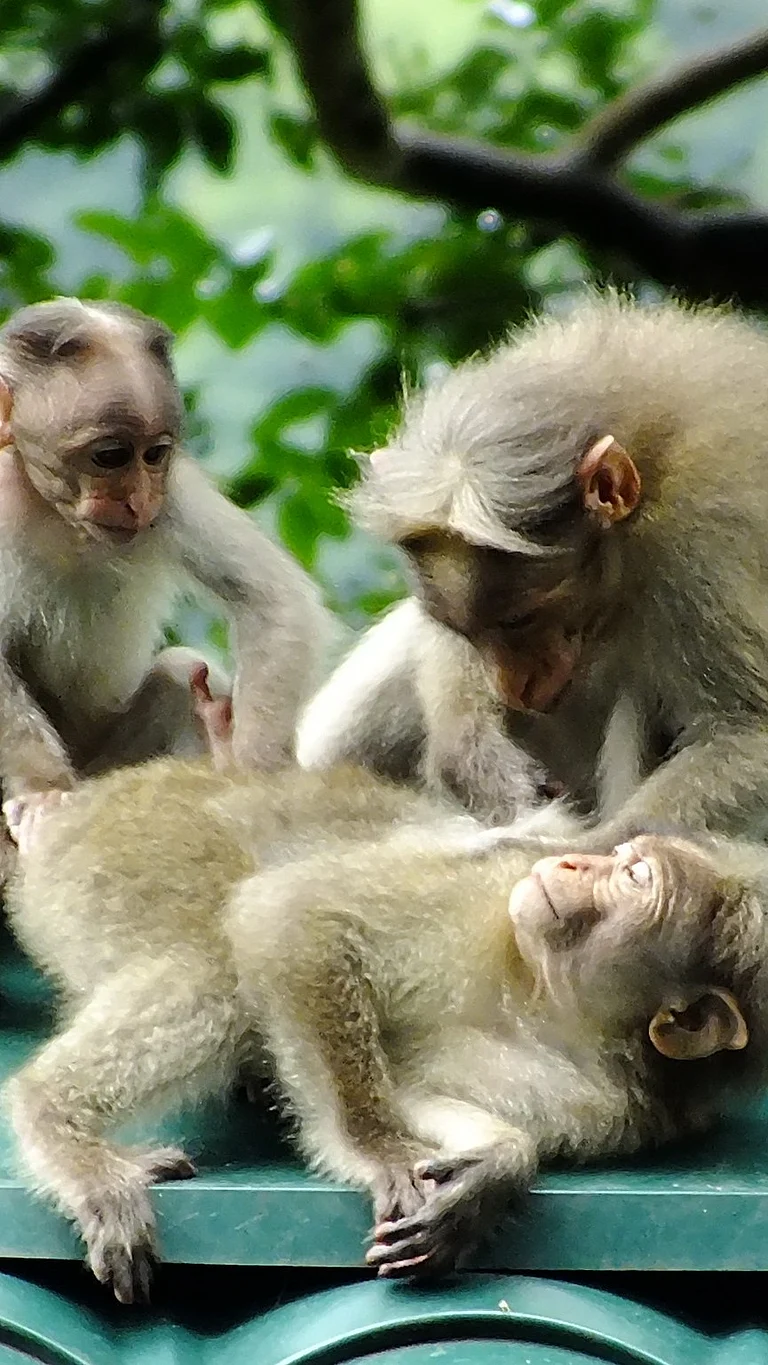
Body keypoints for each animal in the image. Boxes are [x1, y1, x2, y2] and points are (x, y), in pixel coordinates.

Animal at [0, 296, 332, 815]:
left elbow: (272, 599)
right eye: (111, 456)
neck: (56, 513)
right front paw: (42, 788)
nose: (138, 501)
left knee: (178, 676)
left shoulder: (172, 493)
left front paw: (255, 770)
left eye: (154, 455)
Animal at [4, 746, 768, 1300]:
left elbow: (421, 1091)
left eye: (636, 879)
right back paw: (59, 1126)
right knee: (220, 971)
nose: (575, 861)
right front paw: (377, 1147)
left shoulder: (603, 1097)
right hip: (119, 855)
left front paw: (496, 1166)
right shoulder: (489, 894)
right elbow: (295, 912)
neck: (543, 995)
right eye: (623, 862)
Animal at [297, 293, 768, 849]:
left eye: (521, 620)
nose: (513, 689)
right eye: (471, 632)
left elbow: (747, 730)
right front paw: (473, 759)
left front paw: (591, 847)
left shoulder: (707, 550)